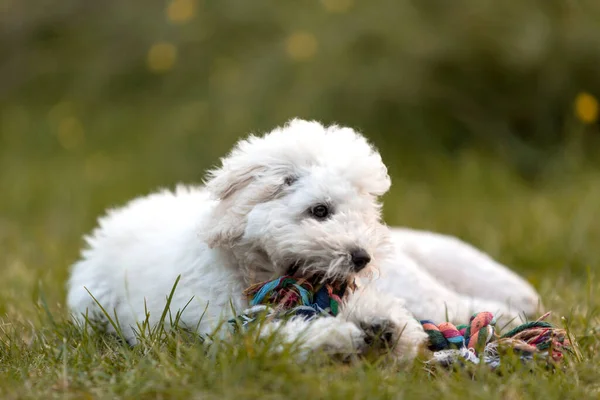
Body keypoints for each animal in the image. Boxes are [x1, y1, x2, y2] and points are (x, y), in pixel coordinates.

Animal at [67, 118, 426, 360]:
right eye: (320, 210)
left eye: (366, 215)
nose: (362, 257)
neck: (253, 270)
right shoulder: (225, 326)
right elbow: (271, 335)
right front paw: (333, 336)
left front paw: (384, 322)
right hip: (93, 301)